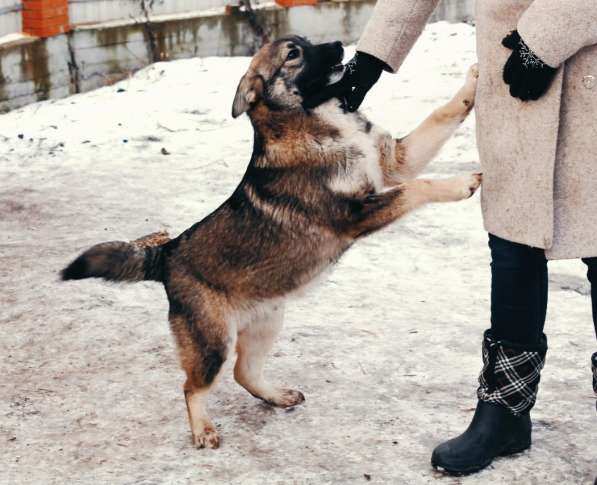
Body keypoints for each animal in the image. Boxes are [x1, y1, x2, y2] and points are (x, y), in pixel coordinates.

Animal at [61, 36, 480, 448]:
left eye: (308, 41)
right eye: (293, 53)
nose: (340, 44)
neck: (314, 119)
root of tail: (167, 252)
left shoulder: (395, 161)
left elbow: (440, 116)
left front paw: (474, 83)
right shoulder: (354, 215)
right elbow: (417, 188)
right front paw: (461, 184)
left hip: (267, 323)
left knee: (243, 373)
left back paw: (277, 397)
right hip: (213, 344)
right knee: (192, 387)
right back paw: (203, 429)